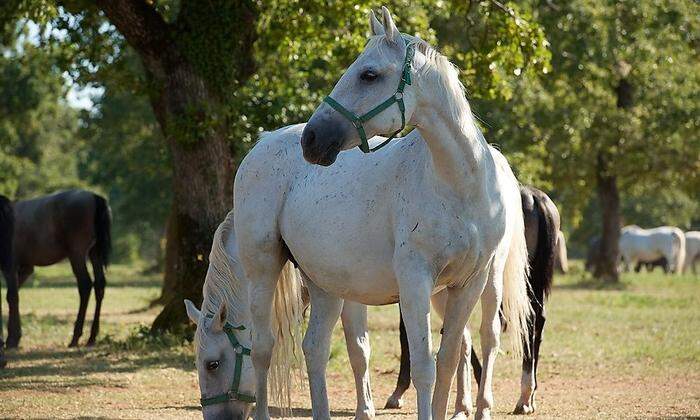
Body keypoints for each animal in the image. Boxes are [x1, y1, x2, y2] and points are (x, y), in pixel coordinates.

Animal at [0, 190, 110, 348]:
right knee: (99, 285)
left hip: (77, 254)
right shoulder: (26, 268)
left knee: (85, 285)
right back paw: (91, 337)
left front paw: (11, 339)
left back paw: (75, 337)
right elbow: (10, 296)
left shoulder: (10, 267)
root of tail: (93, 197)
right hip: (95, 253)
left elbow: (12, 297)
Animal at [183, 7, 528, 420]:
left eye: (369, 74)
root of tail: (264, 144)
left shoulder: (467, 284)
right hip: (275, 270)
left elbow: (443, 360)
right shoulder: (415, 281)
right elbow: (423, 364)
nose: (312, 139)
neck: (456, 185)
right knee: (271, 347)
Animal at [388, 185, 556, 416]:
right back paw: (527, 395)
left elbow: (406, 335)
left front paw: (399, 392)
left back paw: (520, 396)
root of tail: (533, 196)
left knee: (519, 323)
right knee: (536, 320)